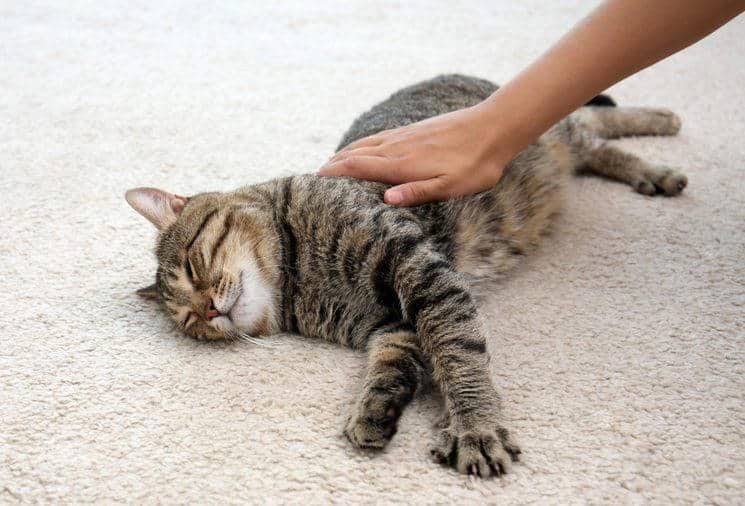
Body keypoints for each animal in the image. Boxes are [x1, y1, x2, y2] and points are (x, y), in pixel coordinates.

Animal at [123, 75, 684, 478]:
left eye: (191, 267)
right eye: (189, 322)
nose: (208, 311)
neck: (300, 278)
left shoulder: (418, 268)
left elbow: (459, 352)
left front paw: (475, 427)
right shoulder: (391, 323)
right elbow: (393, 366)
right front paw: (376, 412)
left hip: (550, 133)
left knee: (593, 129)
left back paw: (658, 146)